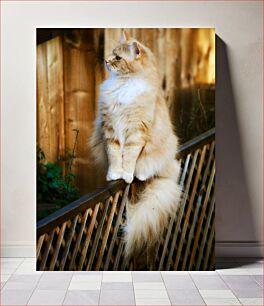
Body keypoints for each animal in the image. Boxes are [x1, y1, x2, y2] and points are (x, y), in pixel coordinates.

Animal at [90, 31, 182, 260]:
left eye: (117, 58)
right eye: (111, 54)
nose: (106, 61)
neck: (123, 86)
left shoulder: (136, 134)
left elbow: (129, 159)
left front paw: (127, 175)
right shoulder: (111, 132)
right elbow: (115, 157)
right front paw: (114, 174)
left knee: (146, 169)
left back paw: (140, 174)